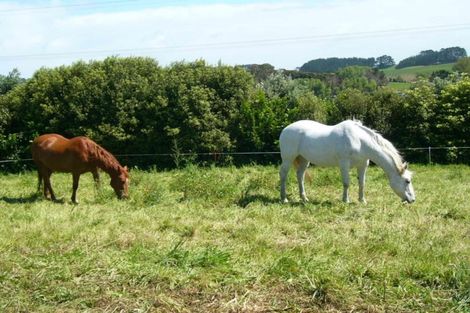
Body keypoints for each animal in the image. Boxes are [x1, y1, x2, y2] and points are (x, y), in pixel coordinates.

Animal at [280, 119, 414, 202]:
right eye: (407, 181)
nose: (413, 200)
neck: (360, 141)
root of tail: (285, 130)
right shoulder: (344, 164)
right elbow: (346, 183)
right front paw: (345, 200)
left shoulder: (363, 165)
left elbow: (362, 183)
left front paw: (362, 200)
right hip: (288, 158)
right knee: (283, 175)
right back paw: (284, 199)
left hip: (304, 159)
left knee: (300, 176)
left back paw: (304, 198)